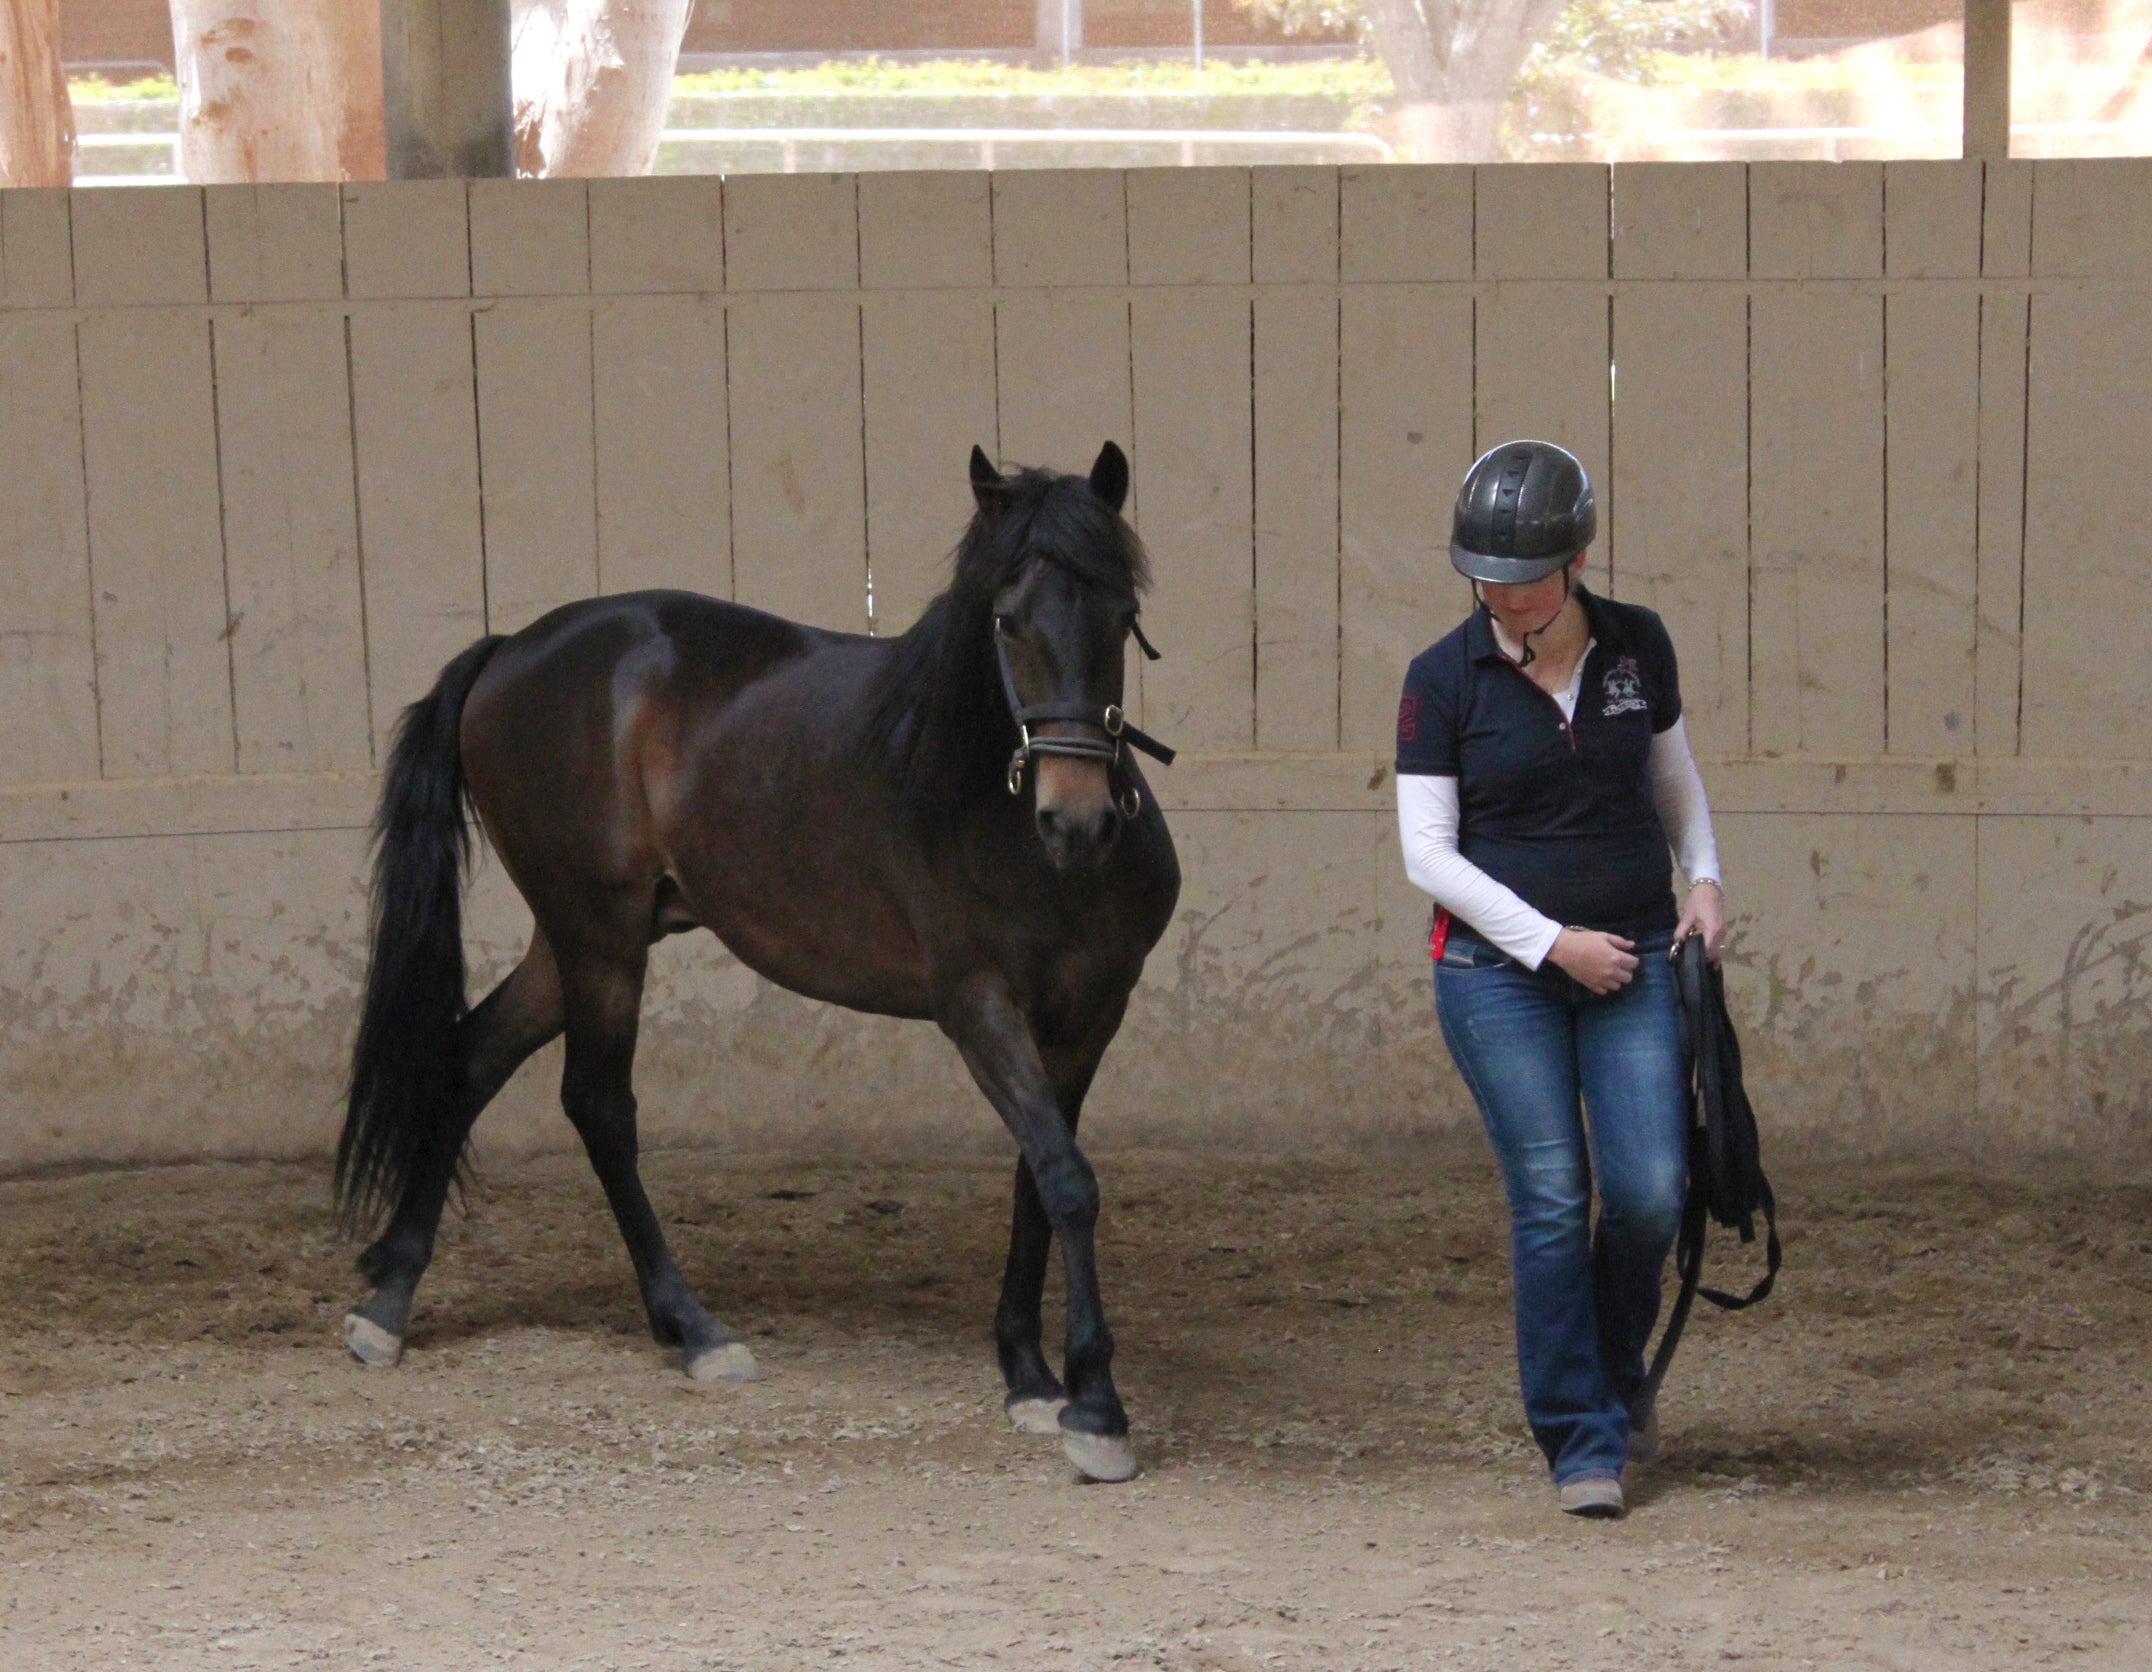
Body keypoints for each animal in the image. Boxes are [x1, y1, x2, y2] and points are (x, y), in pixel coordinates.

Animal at [333, 441, 1181, 1482]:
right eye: (1007, 620)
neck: (990, 804)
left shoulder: (1088, 1016)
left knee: (471, 1057)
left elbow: (1039, 1178)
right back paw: (694, 1329)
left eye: (1120, 616)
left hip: (575, 941)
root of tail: (512, 648)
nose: (1079, 819)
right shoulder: (980, 1008)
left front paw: (1029, 1374)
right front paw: (1094, 1405)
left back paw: (389, 1300)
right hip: (599, 939)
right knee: (598, 1107)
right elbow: (1067, 1178)